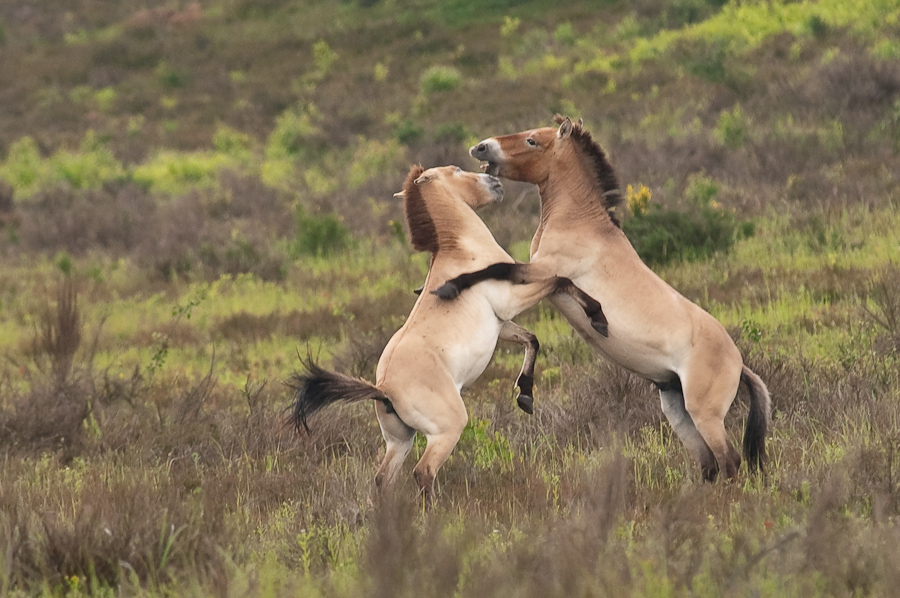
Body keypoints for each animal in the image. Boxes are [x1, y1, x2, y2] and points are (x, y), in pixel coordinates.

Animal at [289, 164, 609, 501]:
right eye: (455, 170)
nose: (494, 180)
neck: (463, 251)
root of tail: (384, 388)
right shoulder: (512, 300)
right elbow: (561, 280)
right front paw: (598, 316)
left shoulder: (501, 323)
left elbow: (531, 339)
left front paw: (525, 397)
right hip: (447, 430)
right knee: (423, 471)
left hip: (399, 441)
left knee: (382, 479)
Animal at [437, 116, 771, 482]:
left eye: (532, 141)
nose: (481, 147)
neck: (579, 222)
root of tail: (740, 365)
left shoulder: (545, 272)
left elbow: (496, 268)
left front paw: (446, 288)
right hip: (677, 410)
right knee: (708, 464)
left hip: (705, 415)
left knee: (730, 461)